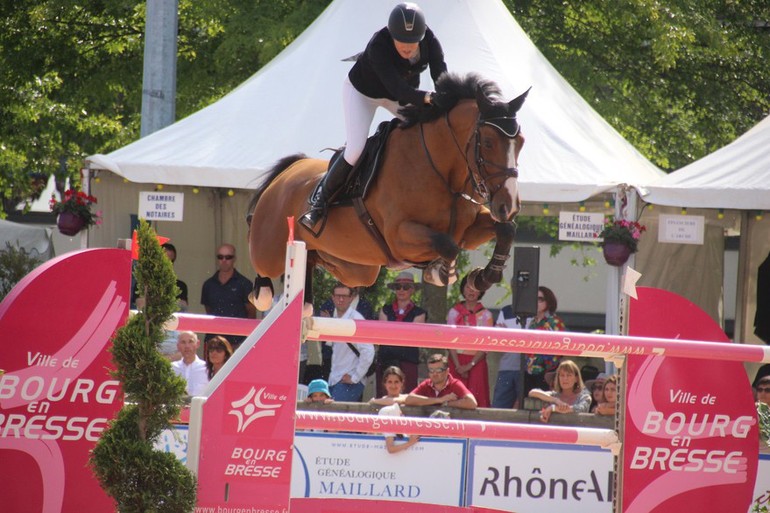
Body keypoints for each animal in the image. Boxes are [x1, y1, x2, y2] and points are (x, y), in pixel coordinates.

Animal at [249, 72, 524, 308]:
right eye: (487, 142)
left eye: (521, 142)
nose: (508, 206)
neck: (442, 172)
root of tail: (288, 171)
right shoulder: (399, 236)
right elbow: (446, 244)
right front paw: (440, 272)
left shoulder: (467, 232)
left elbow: (506, 230)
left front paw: (483, 277)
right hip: (270, 250)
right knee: (262, 269)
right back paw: (262, 294)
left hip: (358, 269)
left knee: (321, 261)